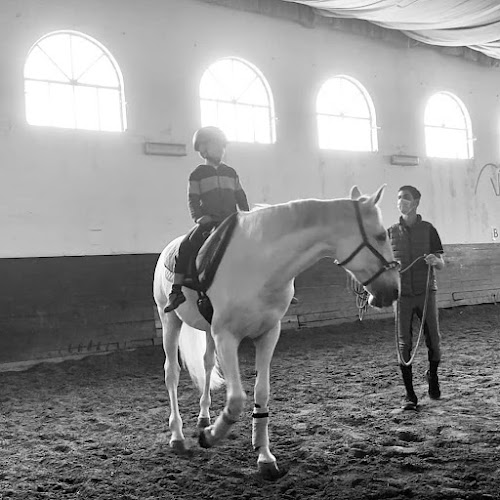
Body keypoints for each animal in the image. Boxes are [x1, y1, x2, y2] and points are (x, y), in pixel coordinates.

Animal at [151, 185, 398, 480]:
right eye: (381, 235)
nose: (393, 291)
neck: (261, 265)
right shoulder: (226, 337)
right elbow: (236, 399)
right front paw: (210, 436)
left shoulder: (268, 334)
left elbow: (261, 393)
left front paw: (264, 456)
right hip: (170, 321)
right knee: (172, 373)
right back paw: (177, 436)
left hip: (208, 332)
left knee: (207, 365)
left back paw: (203, 417)